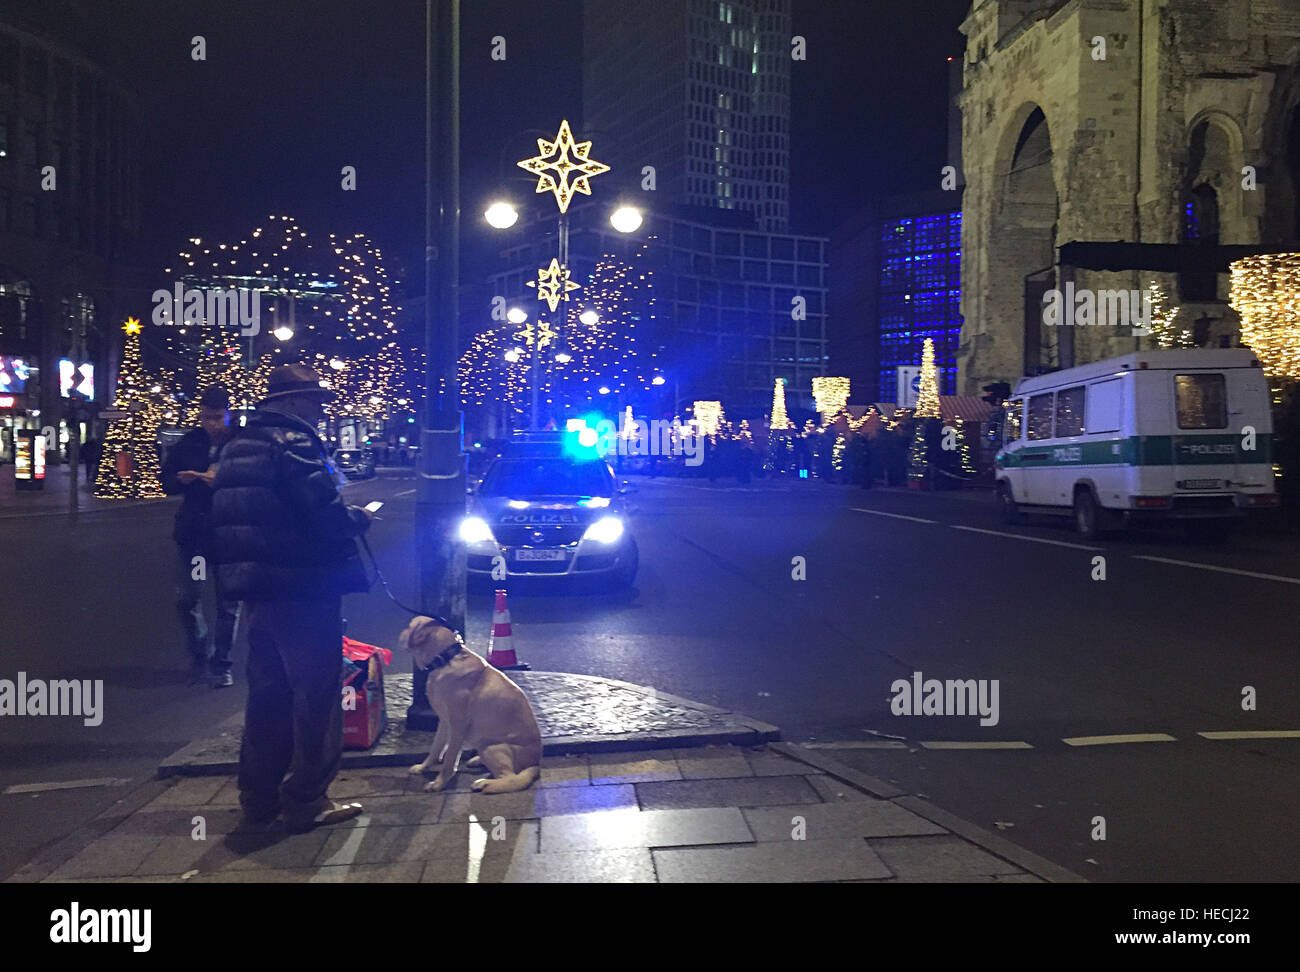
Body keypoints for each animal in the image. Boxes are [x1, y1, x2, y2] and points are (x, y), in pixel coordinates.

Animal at [395, 618, 538, 795]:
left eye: (409, 626)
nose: (400, 632)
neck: (446, 659)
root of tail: (536, 763)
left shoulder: (458, 725)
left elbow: (449, 759)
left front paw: (439, 783)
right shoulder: (444, 721)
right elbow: (435, 748)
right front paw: (423, 767)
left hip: (490, 747)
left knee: (510, 777)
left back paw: (484, 783)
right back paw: (477, 761)